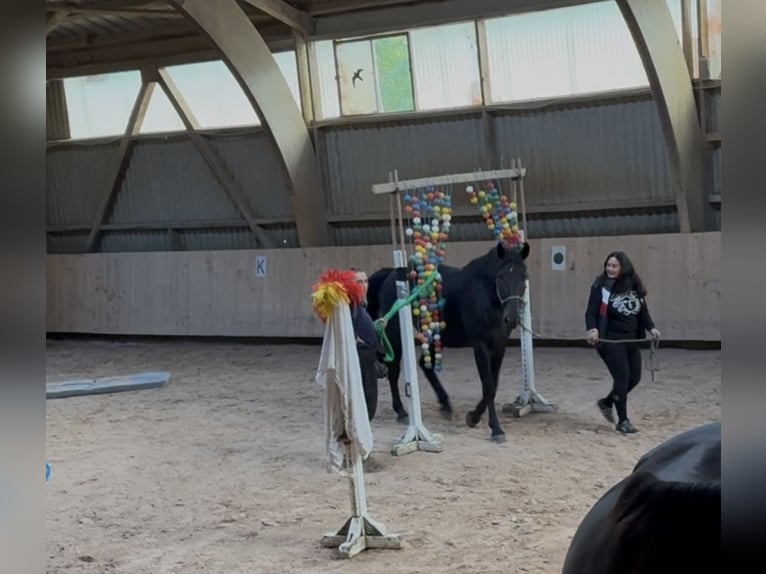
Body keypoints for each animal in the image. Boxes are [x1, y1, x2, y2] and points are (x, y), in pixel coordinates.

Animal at [366, 241, 528, 444]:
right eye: (500, 277)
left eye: (523, 276)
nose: (512, 318)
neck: (485, 298)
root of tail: (390, 275)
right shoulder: (480, 346)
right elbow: (488, 386)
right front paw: (494, 428)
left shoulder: (499, 347)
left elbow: (493, 385)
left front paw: (474, 417)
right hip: (396, 337)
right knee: (394, 372)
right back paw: (402, 412)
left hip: (432, 336)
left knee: (423, 365)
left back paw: (445, 404)